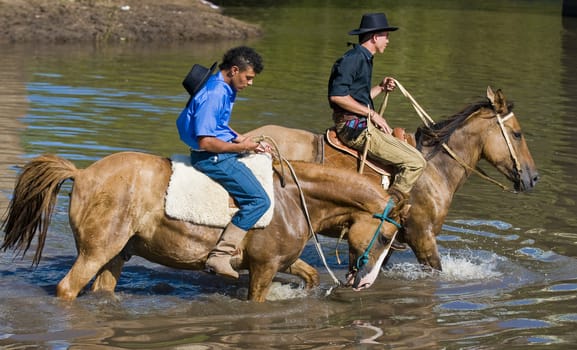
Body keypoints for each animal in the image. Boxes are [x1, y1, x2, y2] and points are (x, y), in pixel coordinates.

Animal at [1, 152, 404, 302]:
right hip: (96, 251)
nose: (365, 283)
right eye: (385, 236)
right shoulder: (264, 267)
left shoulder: (283, 262)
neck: (293, 197)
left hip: (116, 255)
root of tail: (83, 173)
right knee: (67, 289)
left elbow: (310, 275)